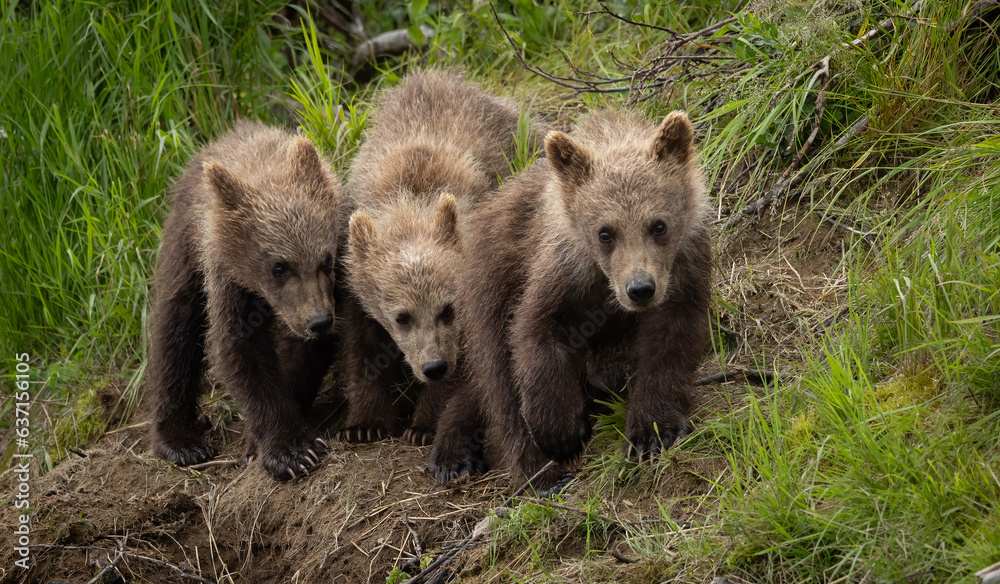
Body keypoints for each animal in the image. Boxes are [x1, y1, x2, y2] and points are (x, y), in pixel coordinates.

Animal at [148, 121, 342, 481]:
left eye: (326, 259)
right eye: (279, 266)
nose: (319, 321)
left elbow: (301, 357)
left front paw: (265, 442)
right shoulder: (228, 280)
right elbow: (239, 350)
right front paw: (291, 451)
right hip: (183, 250)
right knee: (173, 332)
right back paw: (181, 441)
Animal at [338, 69, 540, 447]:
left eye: (447, 309)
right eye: (402, 317)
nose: (433, 367)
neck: (409, 201)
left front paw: (424, 425)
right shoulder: (357, 289)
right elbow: (361, 348)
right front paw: (365, 422)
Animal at [427, 110, 712, 492]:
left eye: (659, 225)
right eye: (605, 233)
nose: (640, 288)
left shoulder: (683, 271)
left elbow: (671, 345)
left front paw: (652, 433)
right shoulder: (559, 274)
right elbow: (535, 336)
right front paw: (559, 434)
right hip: (486, 289)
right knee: (498, 381)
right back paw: (534, 472)